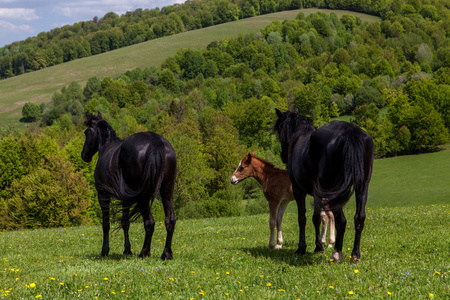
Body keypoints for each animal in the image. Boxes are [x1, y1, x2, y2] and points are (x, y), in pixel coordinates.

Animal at [81, 113, 177, 260]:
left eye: (87, 132)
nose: (84, 155)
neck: (106, 147)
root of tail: (156, 142)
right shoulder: (124, 199)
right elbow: (125, 223)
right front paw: (127, 250)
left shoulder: (103, 196)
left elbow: (106, 224)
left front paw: (104, 251)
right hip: (166, 189)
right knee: (170, 220)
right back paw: (166, 254)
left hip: (143, 195)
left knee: (149, 222)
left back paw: (144, 252)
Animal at [274, 109, 372, 264]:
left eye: (279, 128)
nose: (283, 156)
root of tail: (350, 131)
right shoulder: (318, 193)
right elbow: (317, 218)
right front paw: (318, 246)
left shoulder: (299, 190)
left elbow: (304, 219)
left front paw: (304, 248)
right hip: (362, 185)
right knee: (359, 218)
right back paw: (355, 255)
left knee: (341, 220)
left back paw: (336, 253)